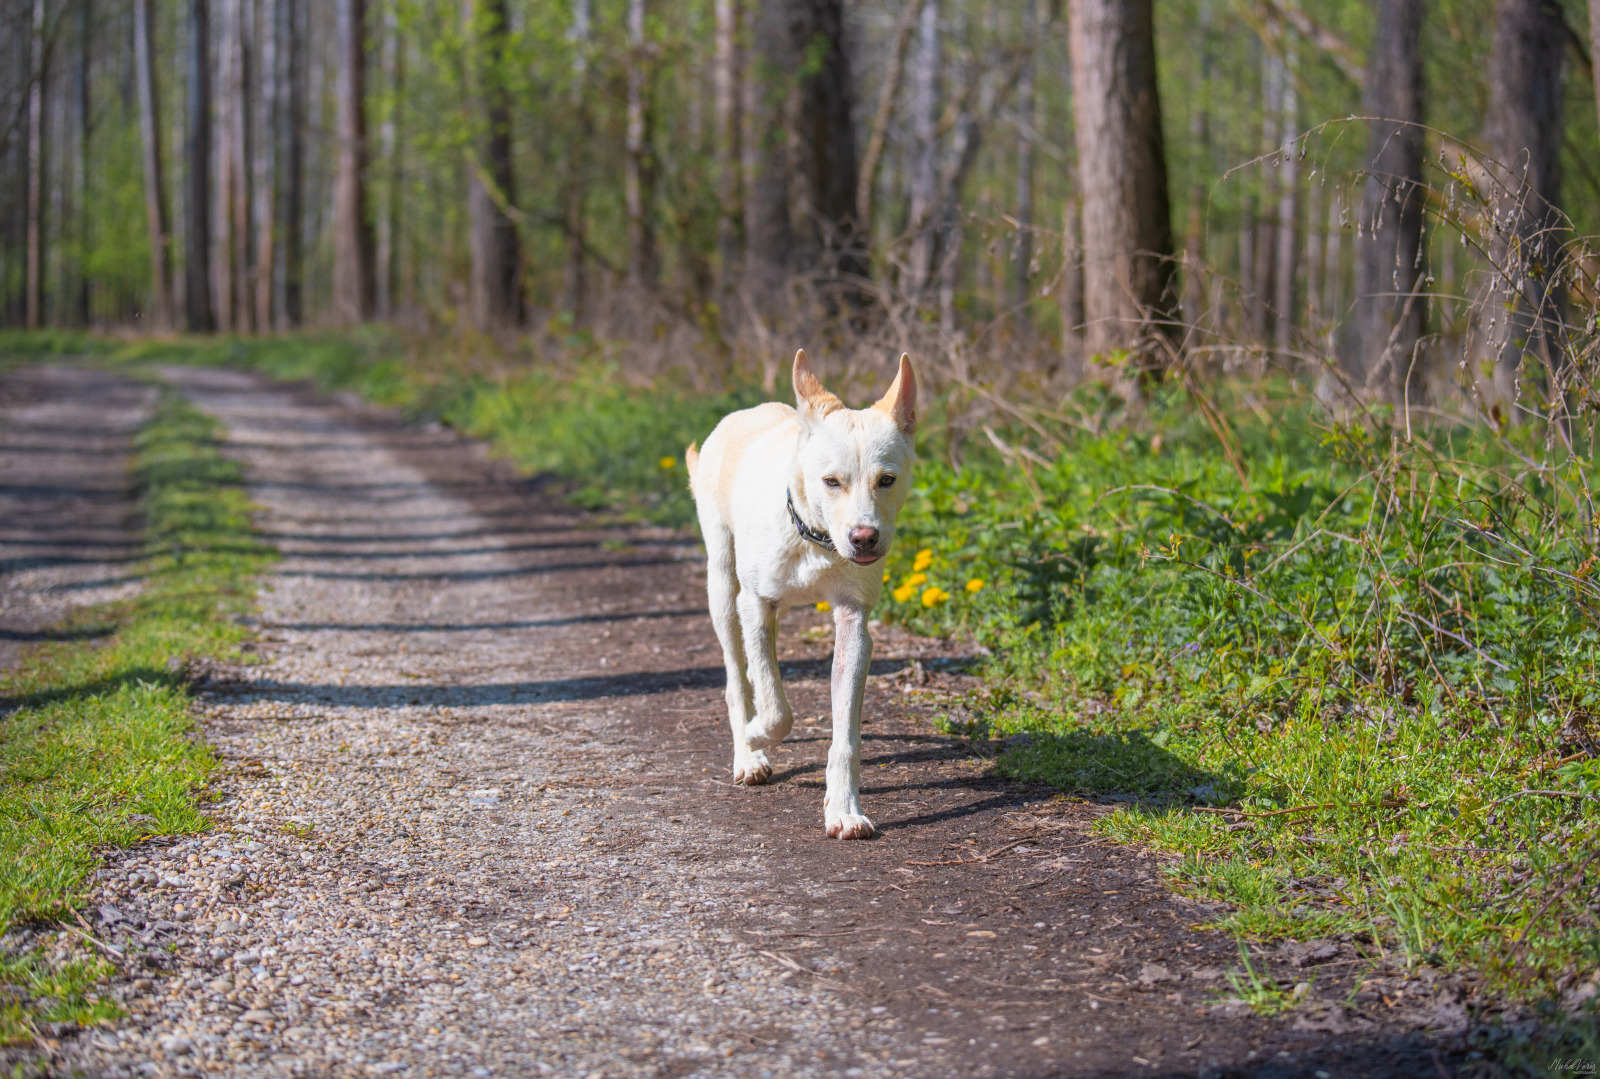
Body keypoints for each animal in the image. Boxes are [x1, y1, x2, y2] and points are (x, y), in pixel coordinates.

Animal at [684, 348, 915, 838]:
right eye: (831, 481)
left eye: (886, 480)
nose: (865, 539)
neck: (815, 539)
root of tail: (745, 413)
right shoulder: (755, 605)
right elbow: (775, 710)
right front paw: (754, 734)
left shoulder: (854, 621)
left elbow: (845, 735)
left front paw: (843, 810)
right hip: (723, 589)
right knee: (736, 680)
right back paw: (747, 752)